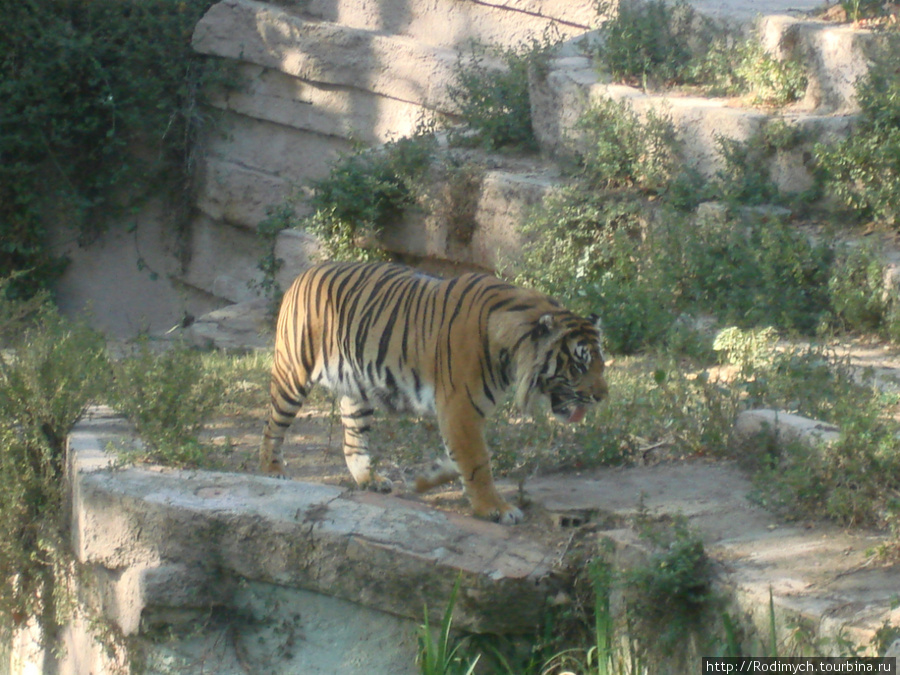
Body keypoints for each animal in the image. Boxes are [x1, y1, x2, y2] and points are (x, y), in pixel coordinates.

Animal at [262, 262, 612, 524]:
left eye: (600, 363)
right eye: (579, 365)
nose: (602, 397)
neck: (511, 348)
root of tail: (305, 273)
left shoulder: (460, 415)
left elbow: (461, 459)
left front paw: (424, 478)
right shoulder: (461, 408)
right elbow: (478, 461)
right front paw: (495, 509)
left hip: (357, 389)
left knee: (353, 442)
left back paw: (370, 480)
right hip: (292, 374)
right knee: (272, 426)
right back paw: (273, 472)